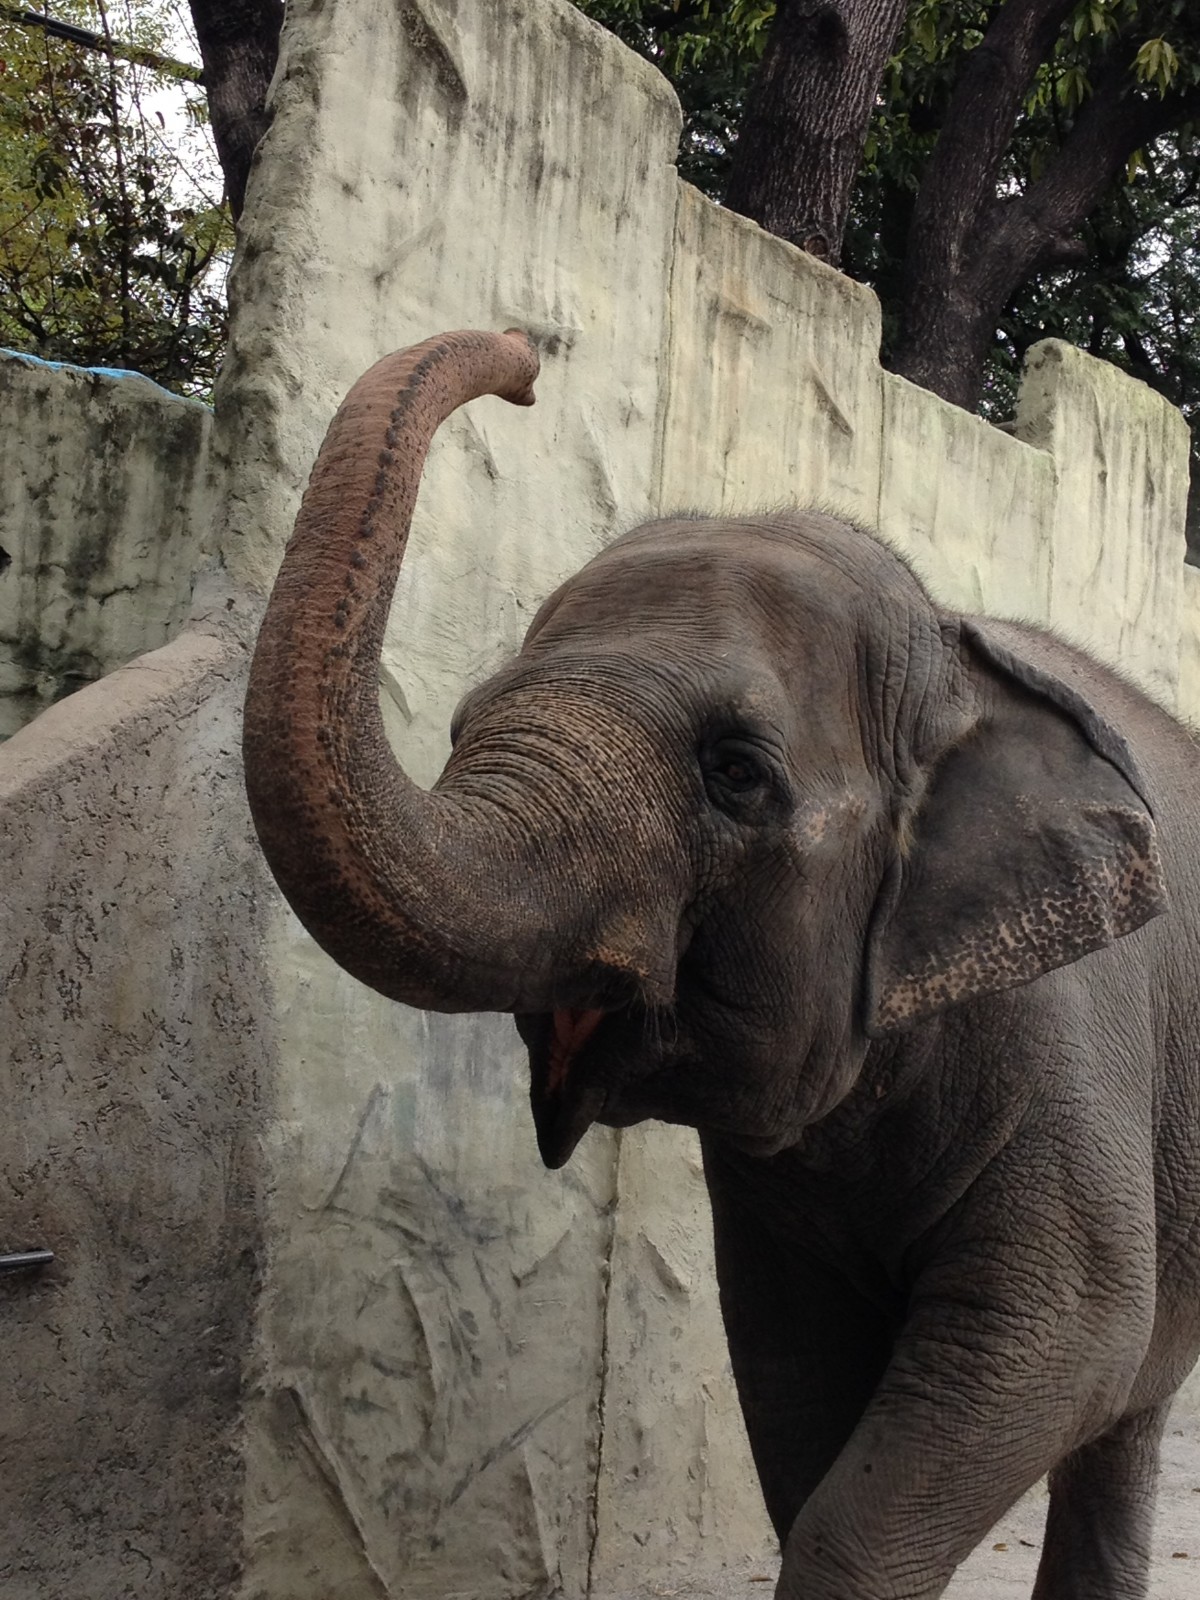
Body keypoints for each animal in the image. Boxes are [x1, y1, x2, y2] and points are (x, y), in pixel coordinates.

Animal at [241, 331, 1200, 1600]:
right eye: (456, 726)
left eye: (736, 772)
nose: (525, 363)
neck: (955, 653)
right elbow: (793, 1384)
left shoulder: (1068, 1038)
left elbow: (1068, 1335)